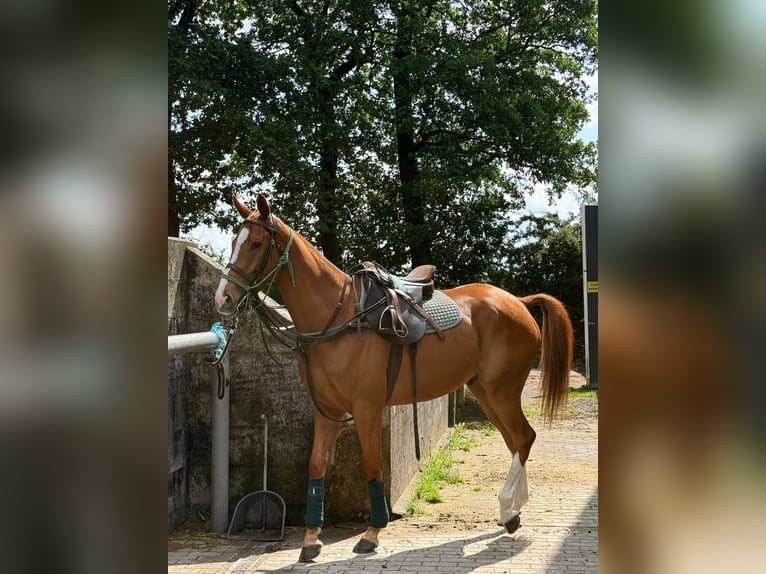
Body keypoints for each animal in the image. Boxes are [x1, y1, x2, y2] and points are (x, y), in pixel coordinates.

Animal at [214, 193, 573, 562]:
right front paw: (311, 540)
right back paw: (513, 512)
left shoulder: (367, 409)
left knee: (524, 437)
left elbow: (373, 468)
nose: (223, 298)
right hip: (486, 392)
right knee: (516, 441)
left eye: (256, 243)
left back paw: (507, 506)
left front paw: (371, 533)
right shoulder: (325, 410)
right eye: (234, 242)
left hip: (502, 391)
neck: (339, 320)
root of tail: (518, 301)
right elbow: (316, 466)